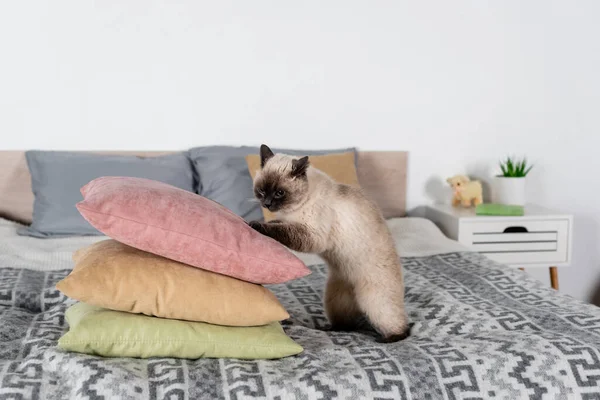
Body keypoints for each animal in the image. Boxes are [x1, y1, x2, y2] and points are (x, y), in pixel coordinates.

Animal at [247, 145, 408, 342]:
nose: (267, 204)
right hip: (334, 299)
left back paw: (388, 339)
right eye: (262, 191)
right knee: (346, 324)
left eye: (279, 193)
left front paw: (255, 225)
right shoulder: (288, 221)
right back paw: (330, 329)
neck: (294, 208)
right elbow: (276, 224)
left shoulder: (310, 234)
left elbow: (279, 231)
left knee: (398, 325)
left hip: (375, 301)